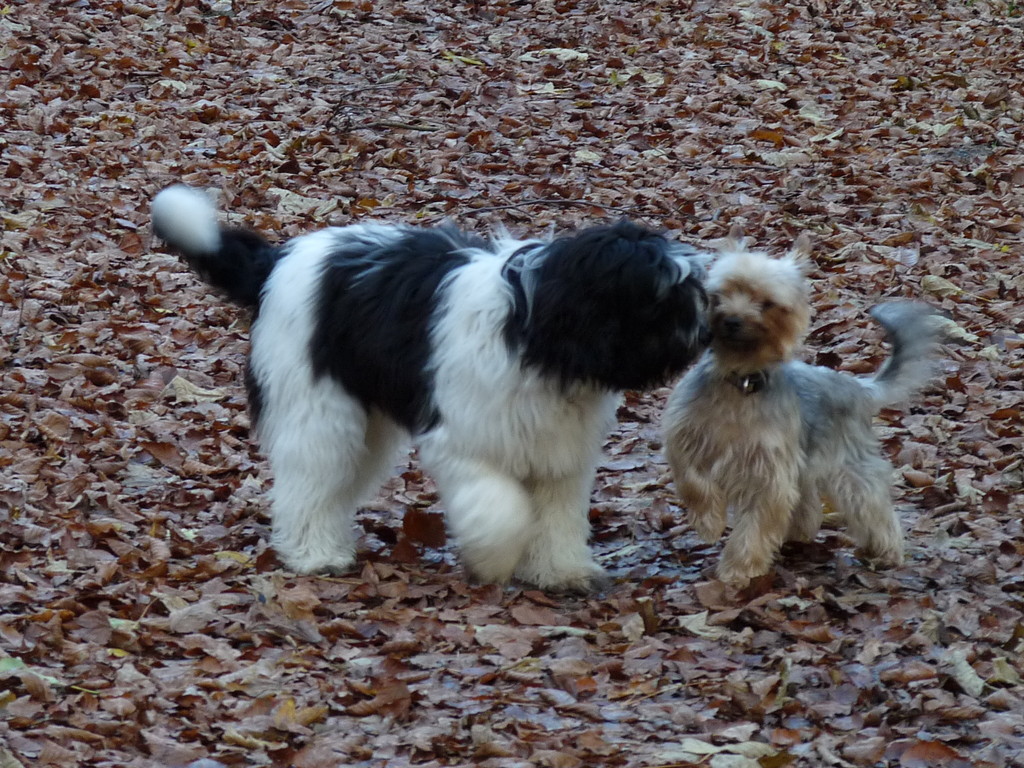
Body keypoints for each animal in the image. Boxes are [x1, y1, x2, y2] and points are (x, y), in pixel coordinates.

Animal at [153, 185, 712, 589]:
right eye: (661, 299)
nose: (709, 329)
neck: (535, 332)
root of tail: (279, 262)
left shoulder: (558, 453)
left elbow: (557, 515)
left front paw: (560, 571)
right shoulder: (464, 439)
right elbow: (501, 508)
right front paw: (496, 558)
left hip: (365, 425)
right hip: (320, 411)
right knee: (308, 482)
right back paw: (315, 555)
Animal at [663, 231, 942, 585]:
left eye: (767, 304)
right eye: (721, 293)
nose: (732, 320)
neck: (740, 381)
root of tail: (857, 387)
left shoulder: (769, 473)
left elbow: (755, 524)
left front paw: (739, 568)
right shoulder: (686, 439)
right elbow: (693, 482)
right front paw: (709, 523)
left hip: (850, 467)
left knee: (872, 505)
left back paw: (886, 551)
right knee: (808, 504)